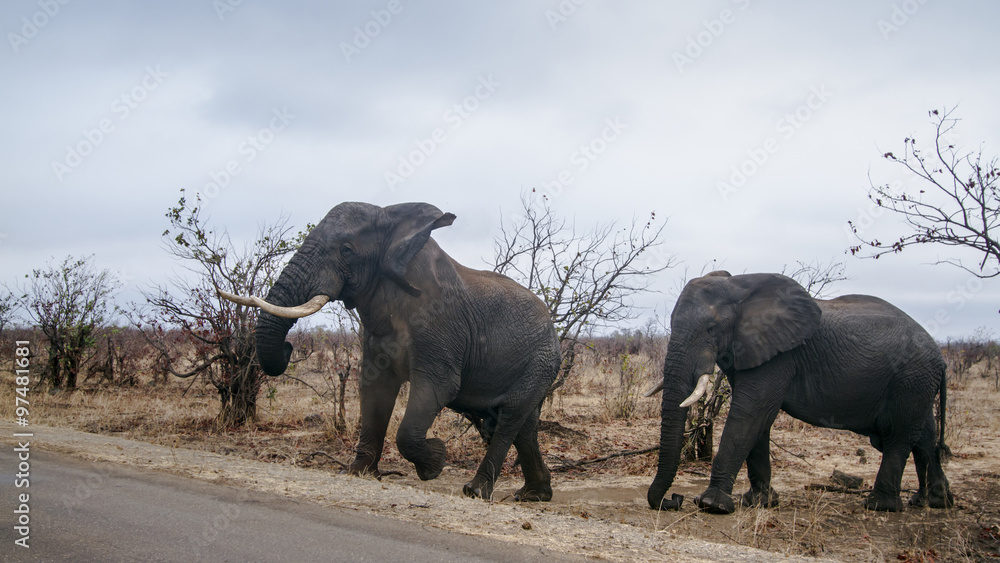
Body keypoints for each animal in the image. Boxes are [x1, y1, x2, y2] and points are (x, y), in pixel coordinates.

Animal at [219, 202, 560, 501]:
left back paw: (475, 491)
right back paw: (534, 495)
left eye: (346, 250)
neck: (393, 221)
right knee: (524, 426)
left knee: (510, 418)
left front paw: (434, 463)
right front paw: (358, 473)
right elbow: (375, 389)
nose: (289, 347)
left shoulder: (440, 323)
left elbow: (437, 389)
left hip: (541, 362)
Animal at [646, 271, 953, 514]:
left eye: (711, 329)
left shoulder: (781, 356)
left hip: (911, 379)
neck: (739, 286)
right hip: (916, 384)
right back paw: (933, 502)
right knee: (924, 436)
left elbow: (750, 414)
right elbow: (759, 422)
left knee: (899, 438)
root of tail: (941, 358)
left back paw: (880, 506)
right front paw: (759, 503)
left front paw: (712, 505)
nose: (674, 499)